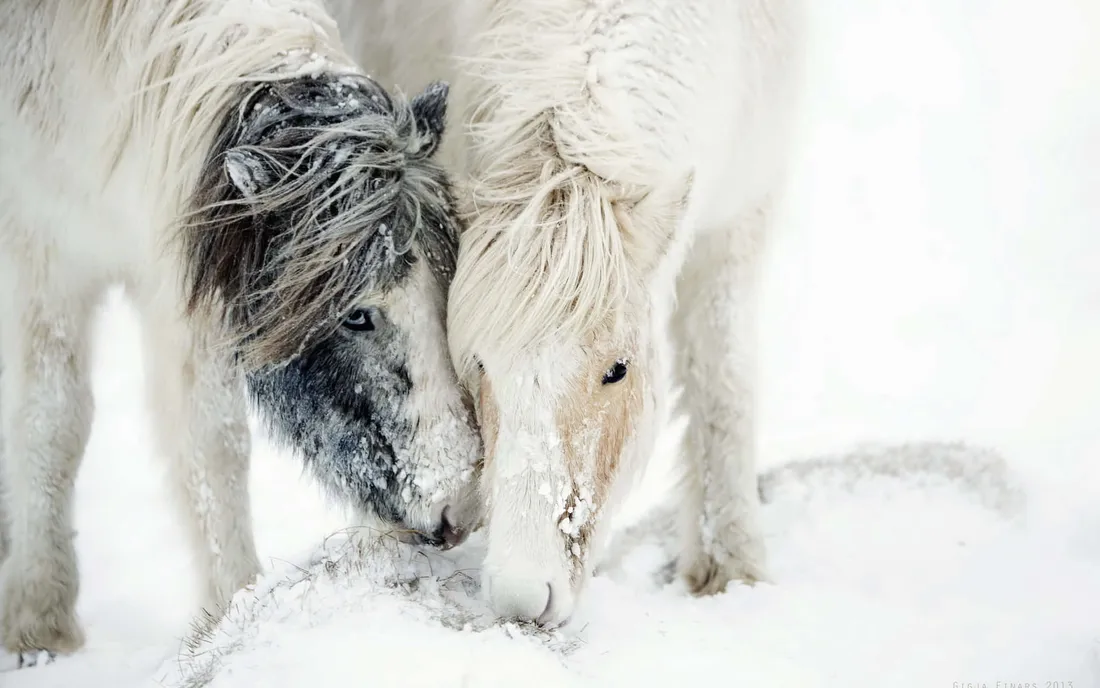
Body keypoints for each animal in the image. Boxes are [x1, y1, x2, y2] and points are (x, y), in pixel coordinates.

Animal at [0, 0, 482, 663]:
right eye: (356, 314)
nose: (462, 510)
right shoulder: (44, 259)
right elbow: (56, 421)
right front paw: (40, 619)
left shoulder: (191, 296)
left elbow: (210, 445)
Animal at [327, 0, 805, 625]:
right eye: (479, 365)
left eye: (618, 370)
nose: (523, 598)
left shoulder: (740, 218)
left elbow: (722, 387)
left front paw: (732, 568)